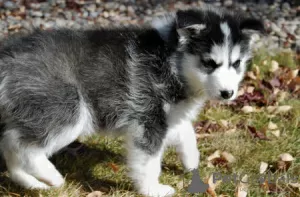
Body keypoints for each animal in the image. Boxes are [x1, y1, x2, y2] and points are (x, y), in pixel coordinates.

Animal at [0, 6, 262, 197]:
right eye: (209, 63)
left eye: (236, 63)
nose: (228, 93)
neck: (171, 62)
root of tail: (8, 53)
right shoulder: (148, 119)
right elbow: (149, 161)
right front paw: (152, 189)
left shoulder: (168, 116)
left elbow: (187, 134)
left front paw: (192, 163)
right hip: (68, 109)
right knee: (20, 146)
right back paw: (51, 175)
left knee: (10, 143)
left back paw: (31, 183)